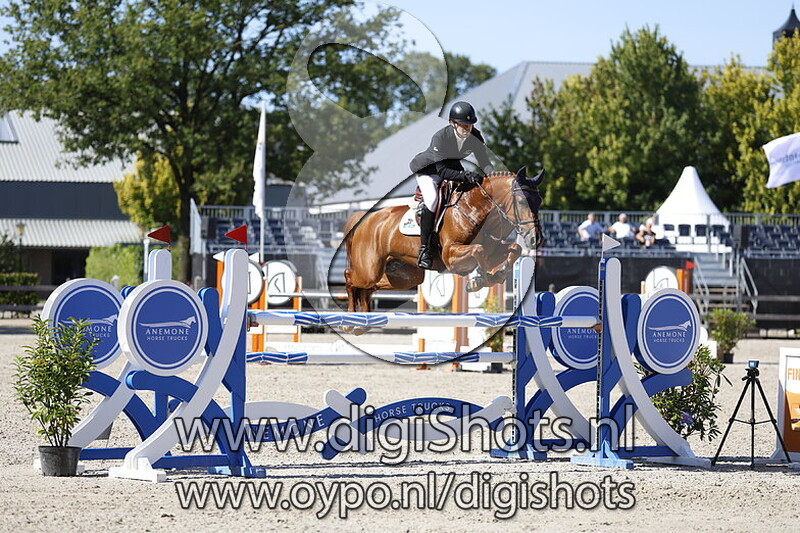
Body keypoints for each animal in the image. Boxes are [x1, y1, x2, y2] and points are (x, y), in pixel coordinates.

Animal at [342, 167, 544, 333]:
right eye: (522, 201)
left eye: (539, 201)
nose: (536, 239)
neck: (475, 208)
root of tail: (363, 220)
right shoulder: (450, 256)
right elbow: (478, 251)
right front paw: (480, 280)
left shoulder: (492, 249)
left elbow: (514, 249)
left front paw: (496, 276)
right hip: (370, 270)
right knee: (350, 277)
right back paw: (350, 322)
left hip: (404, 277)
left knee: (368, 288)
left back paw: (363, 323)